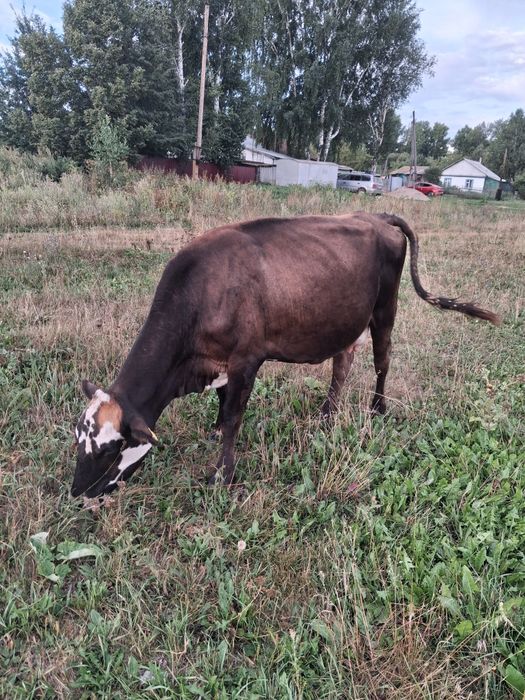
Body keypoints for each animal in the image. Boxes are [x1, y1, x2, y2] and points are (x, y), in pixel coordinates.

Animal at [71, 212, 499, 499]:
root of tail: (376, 215)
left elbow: (234, 416)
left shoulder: (246, 359)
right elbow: (222, 402)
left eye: (109, 449)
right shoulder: (220, 362)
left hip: (385, 309)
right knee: (342, 364)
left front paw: (222, 474)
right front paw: (213, 431)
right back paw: (327, 414)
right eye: (77, 438)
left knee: (383, 360)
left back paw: (377, 408)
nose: (77, 493)